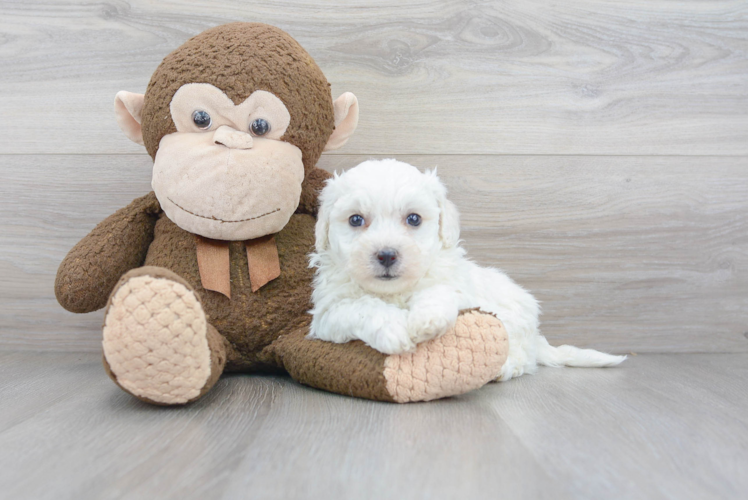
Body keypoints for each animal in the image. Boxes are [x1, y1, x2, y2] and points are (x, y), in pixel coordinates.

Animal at [308, 159, 624, 378]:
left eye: (413, 219)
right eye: (355, 220)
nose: (386, 255)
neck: (393, 292)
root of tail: (536, 338)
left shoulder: (455, 285)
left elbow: (440, 291)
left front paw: (427, 320)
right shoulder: (327, 314)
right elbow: (361, 307)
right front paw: (393, 328)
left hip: (515, 325)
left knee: (522, 358)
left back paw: (504, 369)